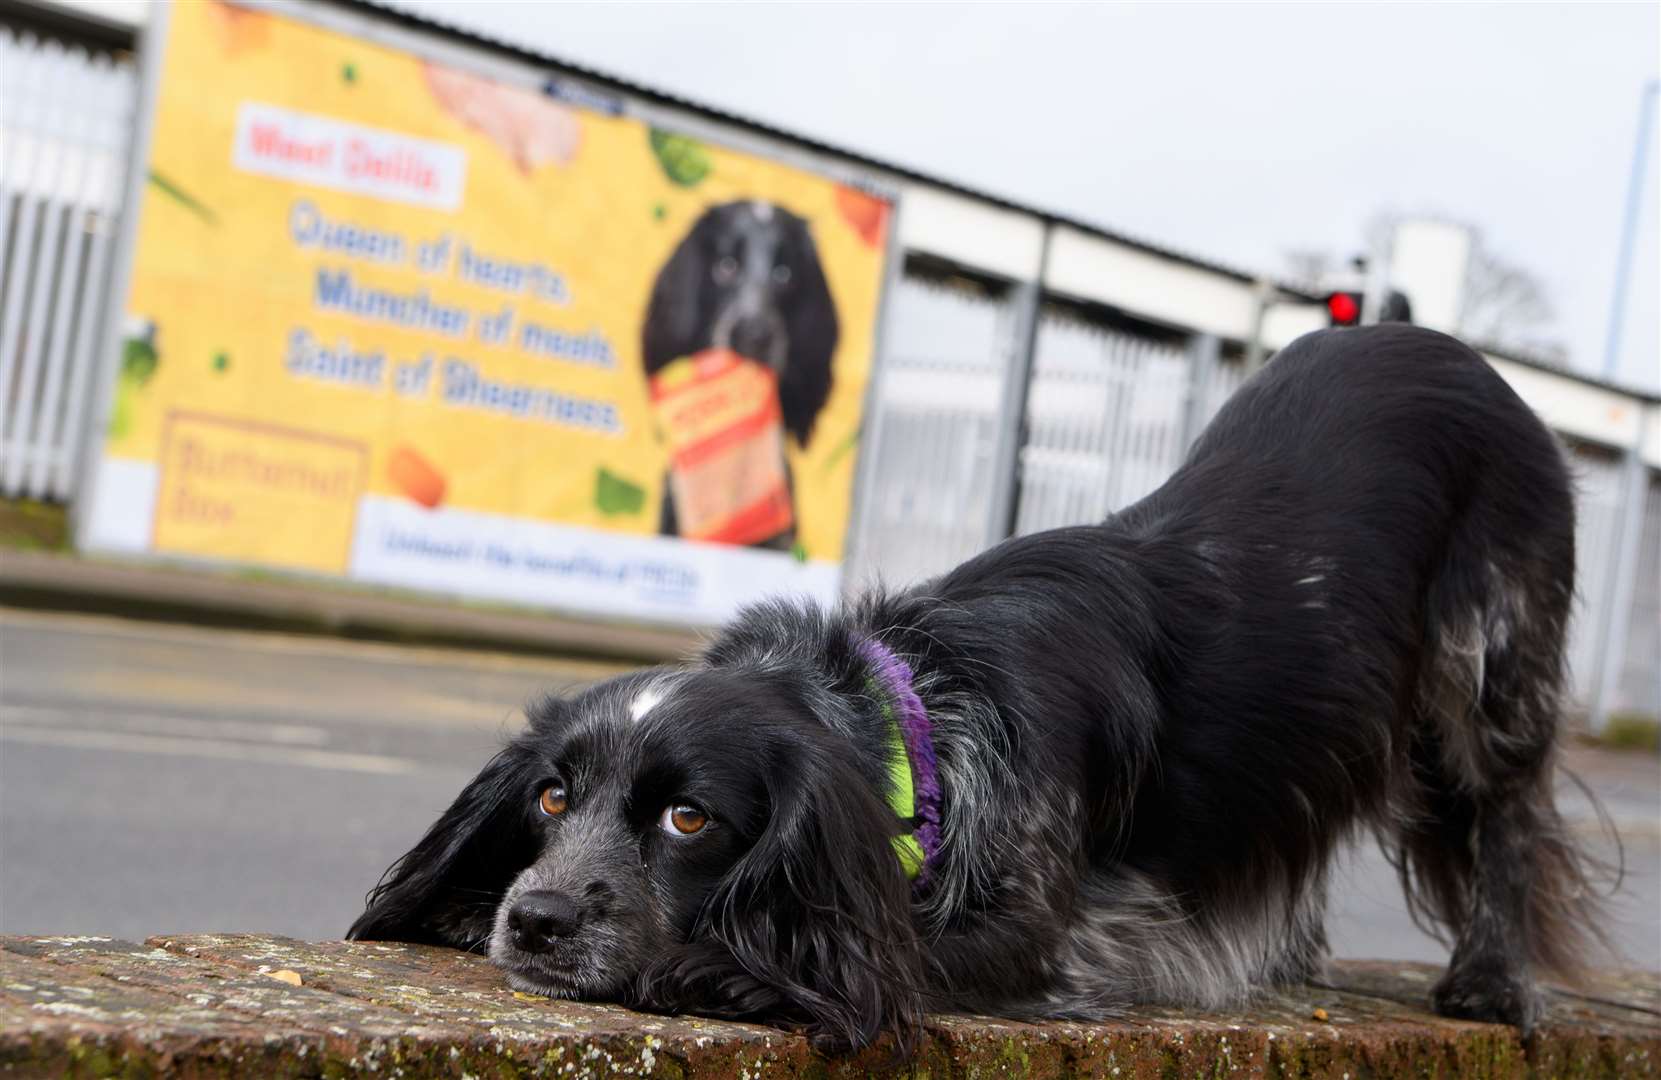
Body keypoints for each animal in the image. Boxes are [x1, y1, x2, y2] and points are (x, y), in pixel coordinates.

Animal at [357, 325, 1601, 1050]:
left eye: (688, 819)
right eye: (550, 800)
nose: (537, 920)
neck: (922, 718)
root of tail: (1449, 350)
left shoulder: (1043, 929)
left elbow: (899, 954)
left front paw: (729, 973)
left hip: (1490, 670)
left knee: (1511, 817)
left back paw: (1490, 984)